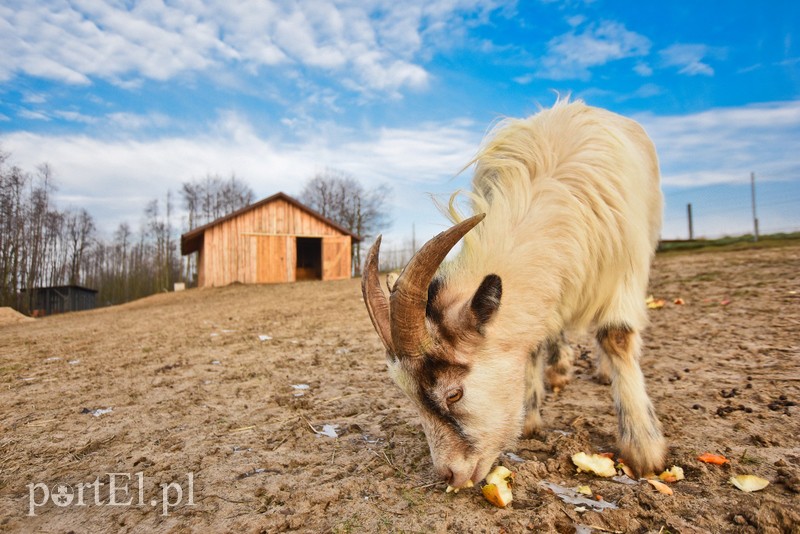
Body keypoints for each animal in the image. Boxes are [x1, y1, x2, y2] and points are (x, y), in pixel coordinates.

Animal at [360, 98, 664, 492]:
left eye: (454, 393)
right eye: (408, 397)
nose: (450, 475)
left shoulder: (623, 268)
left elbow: (617, 337)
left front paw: (643, 448)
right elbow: (533, 340)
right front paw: (530, 417)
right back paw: (559, 369)